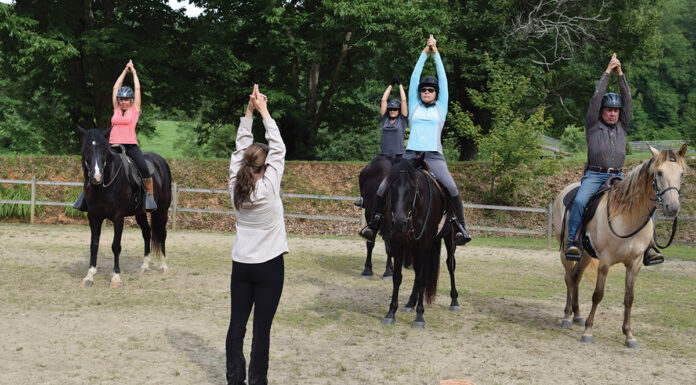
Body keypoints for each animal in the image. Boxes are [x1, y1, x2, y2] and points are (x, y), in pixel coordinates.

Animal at [77, 124, 172, 286]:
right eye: (86, 150)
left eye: (104, 150)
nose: (97, 177)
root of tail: (160, 160)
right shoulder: (93, 217)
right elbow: (94, 245)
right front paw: (89, 276)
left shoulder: (118, 217)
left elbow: (116, 246)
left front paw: (116, 277)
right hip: (140, 213)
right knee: (147, 233)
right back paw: (144, 266)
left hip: (162, 210)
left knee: (162, 234)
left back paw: (164, 266)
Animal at [378, 153, 460, 328]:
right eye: (391, 187)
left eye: (412, 188)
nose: (399, 223)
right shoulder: (399, 244)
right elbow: (398, 277)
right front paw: (391, 312)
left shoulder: (424, 245)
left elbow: (422, 278)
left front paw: (420, 316)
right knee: (417, 273)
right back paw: (410, 303)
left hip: (449, 240)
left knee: (450, 266)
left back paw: (454, 301)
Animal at [556, 145, 684, 348]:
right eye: (659, 172)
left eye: (681, 173)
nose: (672, 208)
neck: (628, 215)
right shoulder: (605, 261)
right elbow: (598, 294)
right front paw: (588, 331)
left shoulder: (635, 263)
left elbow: (629, 298)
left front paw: (629, 335)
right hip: (565, 251)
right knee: (569, 278)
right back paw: (567, 316)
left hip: (586, 255)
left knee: (576, 277)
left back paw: (577, 315)